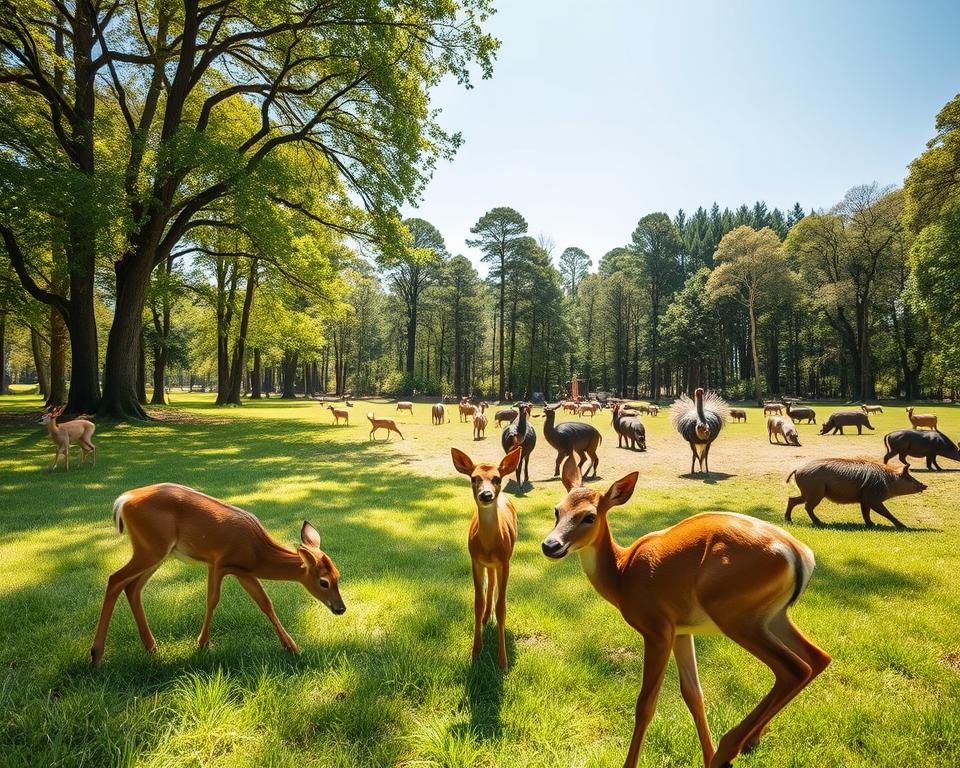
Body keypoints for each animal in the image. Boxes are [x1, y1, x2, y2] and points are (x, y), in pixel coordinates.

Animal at [90, 483, 345, 667]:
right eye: (324, 582)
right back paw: (96, 655)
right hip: (152, 548)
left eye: (338, 575)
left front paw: (292, 647)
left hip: (156, 551)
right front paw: (202, 643)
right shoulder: (219, 562)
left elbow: (265, 603)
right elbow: (212, 599)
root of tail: (123, 500)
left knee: (133, 587)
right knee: (115, 579)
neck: (257, 552)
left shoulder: (243, 571)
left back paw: (151, 646)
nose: (340, 608)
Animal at [451, 446, 523, 670]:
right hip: (487, 565)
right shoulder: (475, 560)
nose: (486, 494)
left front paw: (503, 661)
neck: (489, 546)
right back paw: (485, 617)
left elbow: (502, 607)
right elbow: (477, 603)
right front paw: (475, 653)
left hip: (504, 559)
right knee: (490, 583)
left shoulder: (505, 561)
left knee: (495, 584)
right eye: (474, 478)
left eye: (497, 478)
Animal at [542, 457, 830, 768]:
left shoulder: (657, 628)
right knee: (818, 657)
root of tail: (798, 554)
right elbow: (693, 694)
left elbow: (646, 704)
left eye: (589, 517)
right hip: (772, 616)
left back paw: (729, 749)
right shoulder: (682, 630)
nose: (550, 545)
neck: (622, 574)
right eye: (557, 510)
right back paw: (746, 742)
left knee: (794, 669)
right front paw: (706, 755)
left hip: (733, 612)